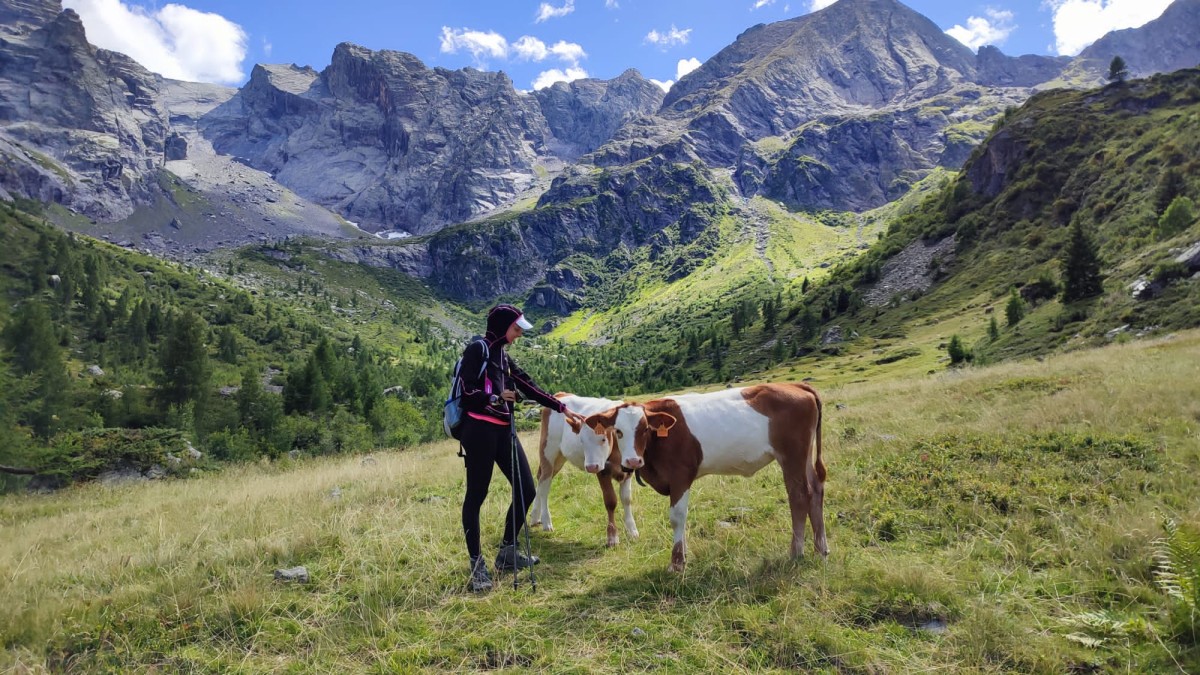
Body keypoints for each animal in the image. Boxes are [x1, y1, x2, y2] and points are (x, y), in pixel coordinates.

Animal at [528, 391, 638, 542]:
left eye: (603, 439)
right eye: (581, 440)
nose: (591, 467)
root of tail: (560, 394)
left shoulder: (629, 470)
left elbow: (627, 499)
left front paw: (632, 530)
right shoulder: (602, 470)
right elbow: (610, 501)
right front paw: (612, 537)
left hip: (559, 458)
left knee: (541, 479)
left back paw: (535, 517)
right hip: (548, 450)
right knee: (545, 483)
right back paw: (546, 521)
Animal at [580, 384, 825, 566]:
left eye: (645, 428)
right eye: (618, 431)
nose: (632, 461)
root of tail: (796, 386)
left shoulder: (681, 475)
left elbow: (677, 517)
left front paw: (677, 563)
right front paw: (683, 555)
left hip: (792, 455)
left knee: (799, 496)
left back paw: (797, 552)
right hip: (804, 455)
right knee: (816, 490)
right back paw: (821, 548)